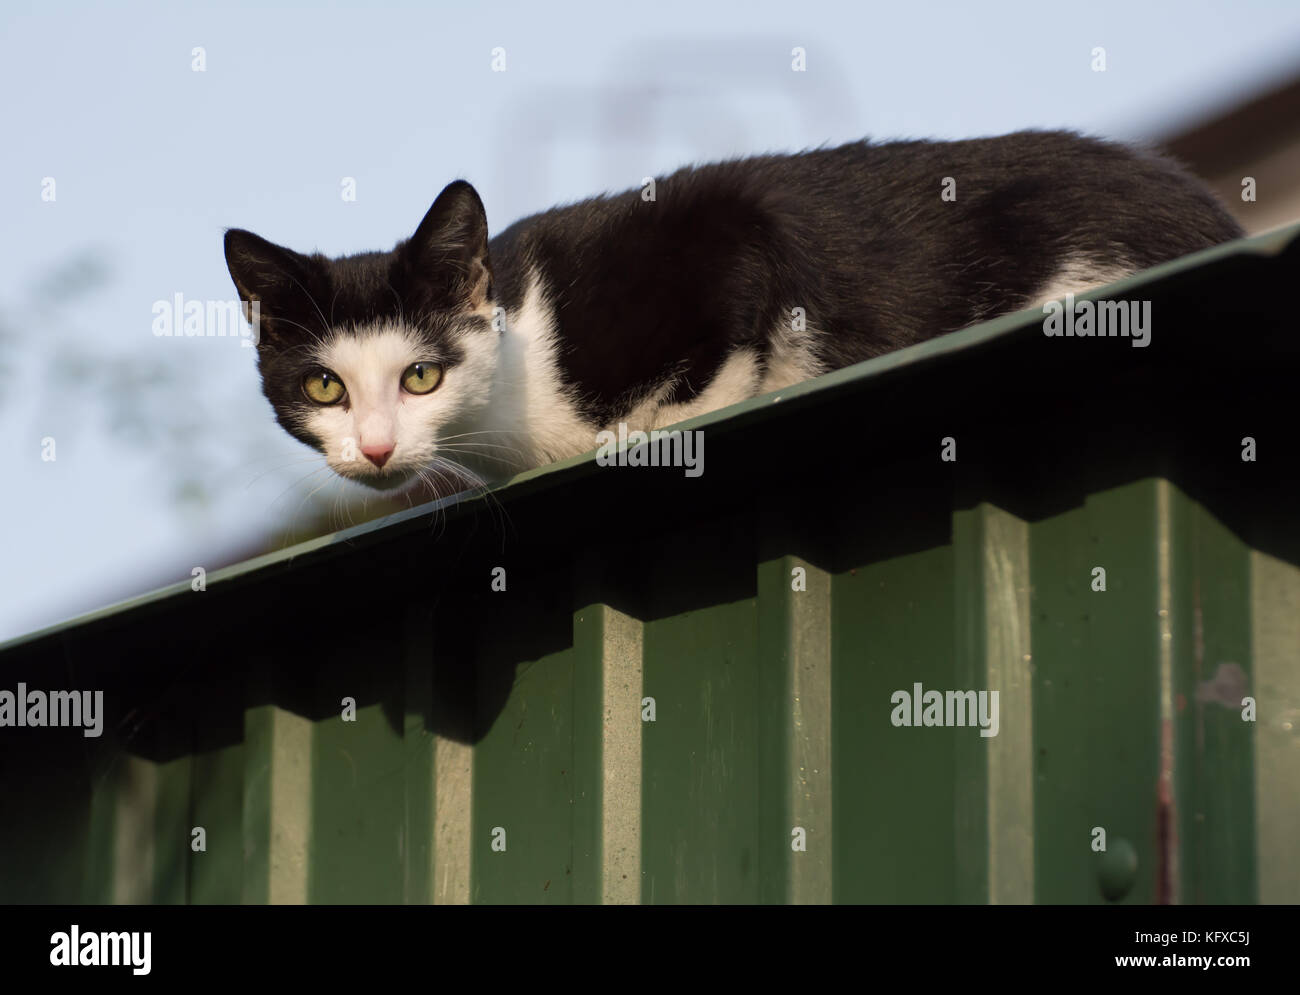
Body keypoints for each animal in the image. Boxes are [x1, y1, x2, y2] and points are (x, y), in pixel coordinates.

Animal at [223, 128, 1237, 494]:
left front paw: (648, 426)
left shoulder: (723, 227)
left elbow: (737, 329)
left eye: (422, 373)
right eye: (324, 386)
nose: (376, 450)